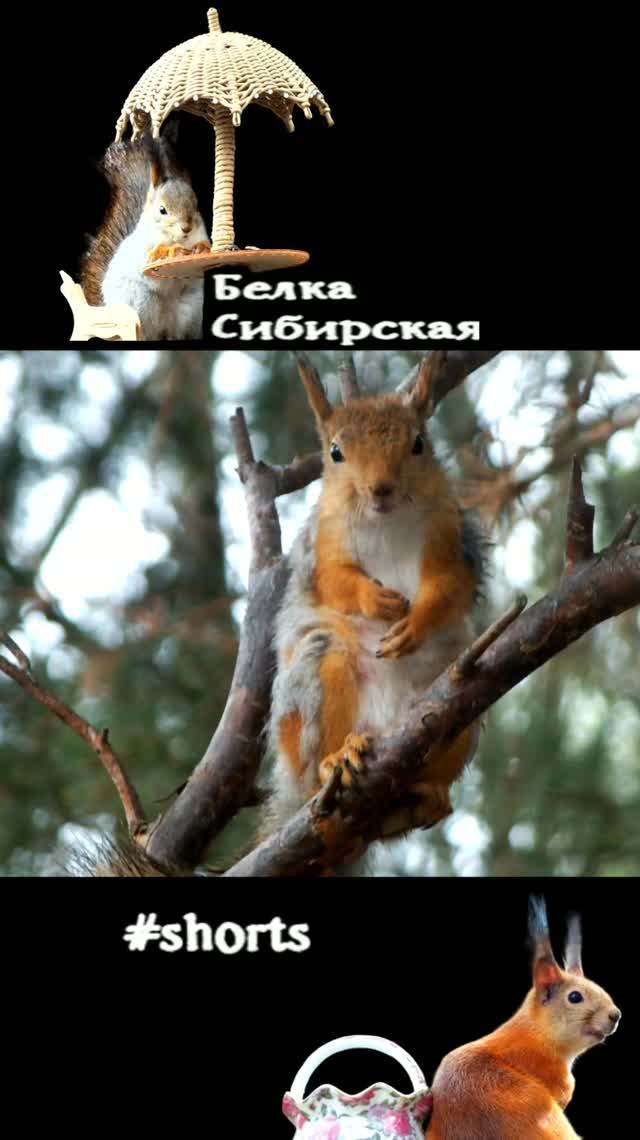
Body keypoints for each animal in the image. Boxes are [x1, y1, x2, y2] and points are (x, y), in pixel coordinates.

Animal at [81, 133, 210, 340]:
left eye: (196, 205)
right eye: (162, 209)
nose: (186, 228)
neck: (176, 239)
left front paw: (200, 249)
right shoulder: (143, 251)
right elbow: (151, 262)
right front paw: (174, 252)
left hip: (190, 311)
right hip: (139, 306)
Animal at [263, 351, 486, 868]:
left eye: (419, 444)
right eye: (335, 452)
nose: (380, 488)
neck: (387, 522)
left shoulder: (450, 537)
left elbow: (449, 586)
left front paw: (414, 622)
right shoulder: (323, 542)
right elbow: (335, 580)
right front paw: (375, 599)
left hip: (454, 699)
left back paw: (425, 795)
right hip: (314, 680)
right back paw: (335, 762)